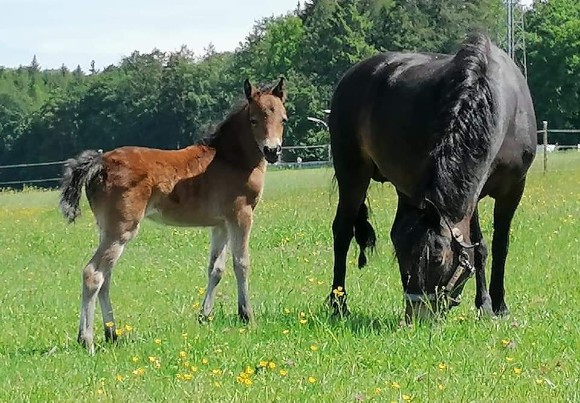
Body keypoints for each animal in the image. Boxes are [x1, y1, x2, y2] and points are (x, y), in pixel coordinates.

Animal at [59, 77, 287, 354]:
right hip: (121, 229)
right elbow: (241, 263)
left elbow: (216, 268)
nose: (273, 151)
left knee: (106, 277)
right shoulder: (240, 216)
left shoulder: (220, 224)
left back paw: (112, 334)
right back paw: (87, 340)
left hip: (107, 229)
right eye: (254, 119)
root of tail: (100, 162)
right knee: (93, 274)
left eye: (283, 119)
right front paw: (247, 315)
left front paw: (204, 316)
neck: (230, 159)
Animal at [328, 34, 537, 321]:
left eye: (438, 259)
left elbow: (494, 245)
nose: (417, 315)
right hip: (352, 173)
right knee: (343, 231)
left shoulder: (512, 188)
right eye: (401, 256)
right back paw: (338, 304)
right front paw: (486, 304)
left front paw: (495, 305)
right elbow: (478, 246)